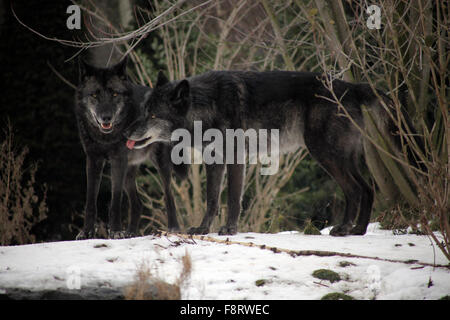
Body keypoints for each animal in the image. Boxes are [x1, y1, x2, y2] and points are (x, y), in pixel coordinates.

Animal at [75, 57, 185, 239]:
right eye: (94, 95)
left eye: (114, 94)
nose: (106, 118)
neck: (106, 137)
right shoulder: (93, 159)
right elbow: (90, 200)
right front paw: (87, 232)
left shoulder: (118, 160)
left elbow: (115, 200)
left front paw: (116, 231)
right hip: (129, 171)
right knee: (138, 204)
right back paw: (131, 232)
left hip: (160, 164)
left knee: (169, 197)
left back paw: (173, 228)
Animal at [125, 69, 410, 235]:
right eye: (143, 110)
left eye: (153, 115)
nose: (126, 134)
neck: (208, 105)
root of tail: (352, 87)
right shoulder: (214, 161)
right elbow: (212, 199)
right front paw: (203, 229)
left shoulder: (235, 159)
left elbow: (233, 198)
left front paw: (229, 229)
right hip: (341, 158)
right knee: (367, 188)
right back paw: (359, 230)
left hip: (325, 154)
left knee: (354, 189)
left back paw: (343, 229)